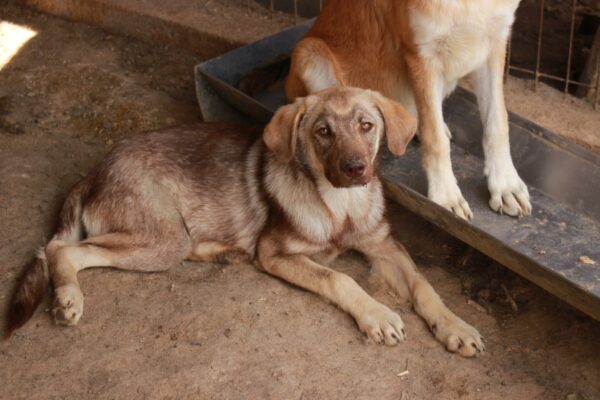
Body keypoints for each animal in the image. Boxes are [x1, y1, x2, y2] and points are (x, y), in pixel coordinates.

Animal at [3, 89, 482, 358]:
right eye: (323, 132)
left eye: (367, 125)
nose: (355, 169)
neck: (340, 207)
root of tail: (93, 172)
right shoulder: (276, 252)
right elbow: (340, 279)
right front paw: (377, 315)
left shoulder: (385, 247)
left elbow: (425, 287)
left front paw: (455, 327)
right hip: (163, 239)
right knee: (60, 249)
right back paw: (68, 298)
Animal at [288, 0, 532, 222]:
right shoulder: (422, 56)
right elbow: (435, 141)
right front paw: (446, 195)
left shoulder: (495, 43)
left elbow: (497, 124)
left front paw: (505, 184)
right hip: (309, 53)